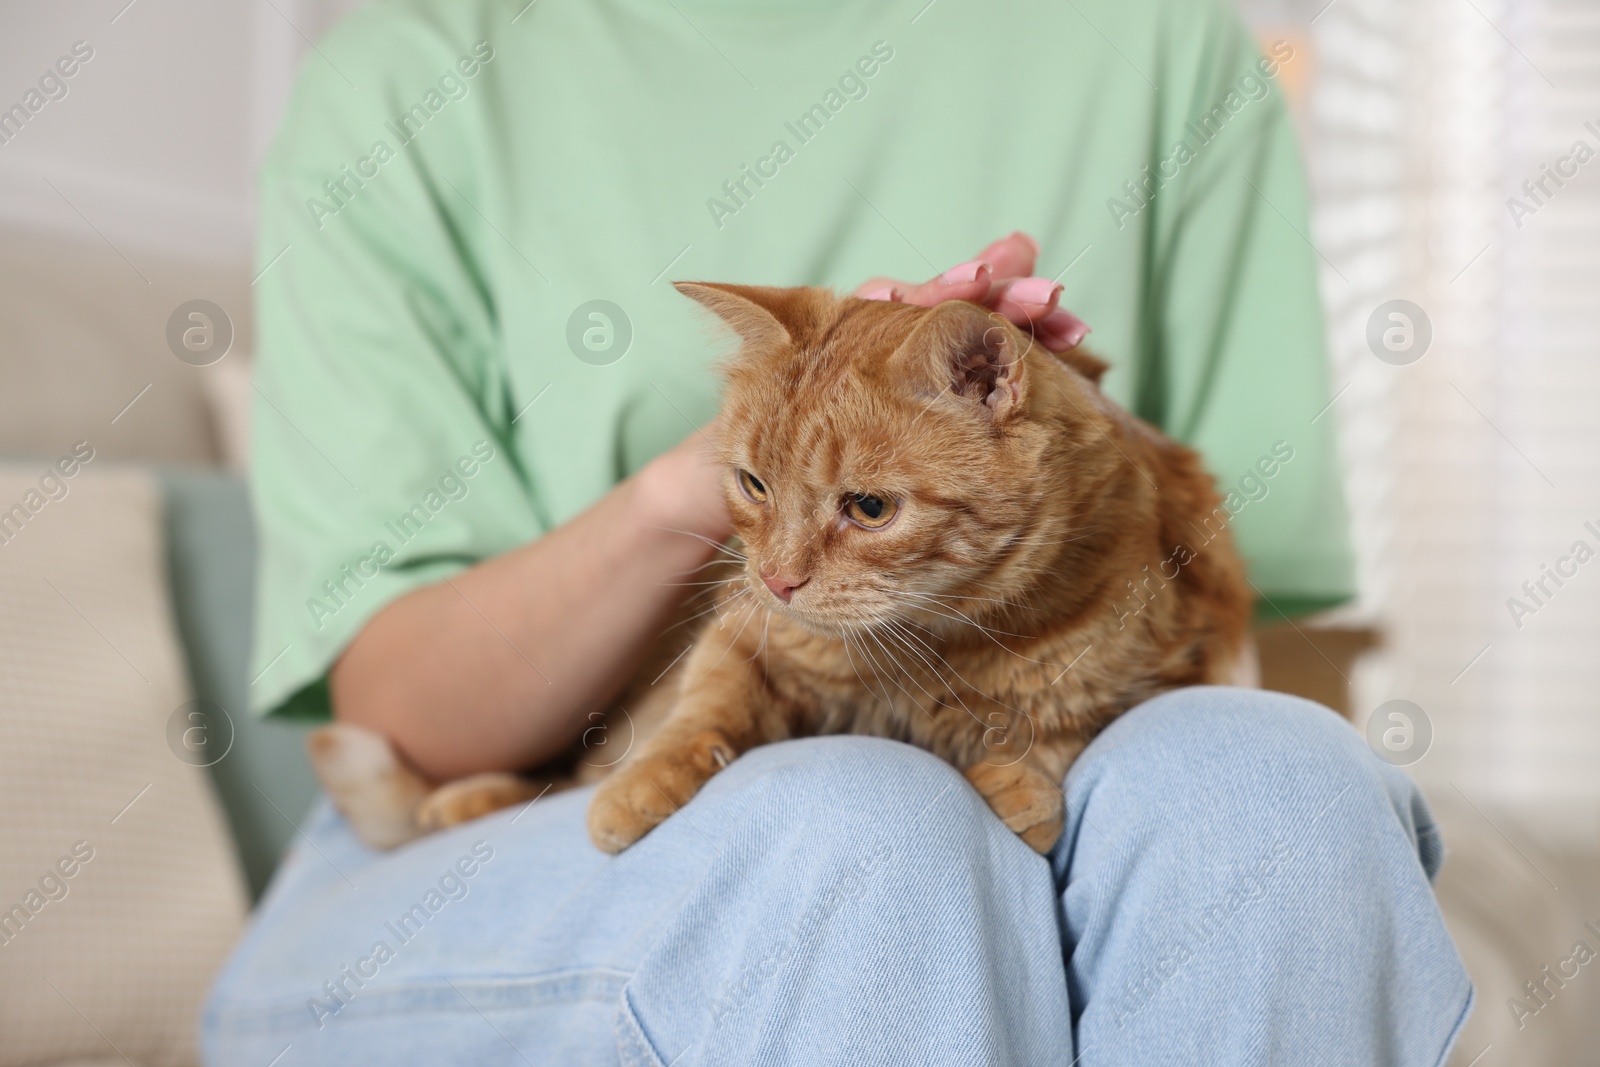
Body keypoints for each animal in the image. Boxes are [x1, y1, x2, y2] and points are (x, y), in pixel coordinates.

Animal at [308, 286, 1248, 857]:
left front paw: (1020, 783)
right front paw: (640, 786)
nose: (780, 579)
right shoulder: (740, 634)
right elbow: (699, 713)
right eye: (754, 484)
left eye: (868, 508)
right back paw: (464, 799)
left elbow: (1050, 732)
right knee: (559, 774)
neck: (928, 644)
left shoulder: (1127, 673)